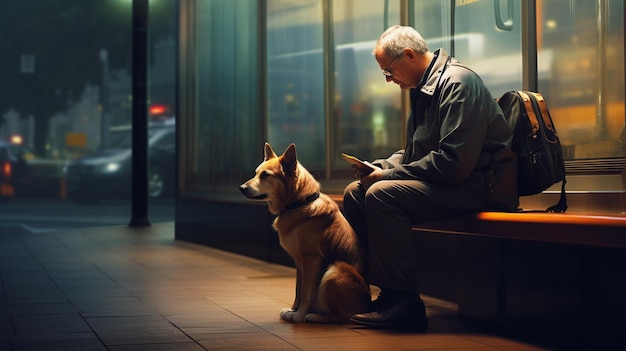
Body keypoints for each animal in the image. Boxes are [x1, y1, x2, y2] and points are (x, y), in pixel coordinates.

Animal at [236, 143, 368, 324]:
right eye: (256, 173)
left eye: (265, 175)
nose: (241, 188)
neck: (299, 203)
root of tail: (368, 304)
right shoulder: (299, 261)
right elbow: (298, 290)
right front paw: (293, 310)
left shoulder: (311, 259)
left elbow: (306, 291)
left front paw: (299, 315)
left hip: (334, 271)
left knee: (342, 317)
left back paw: (315, 315)